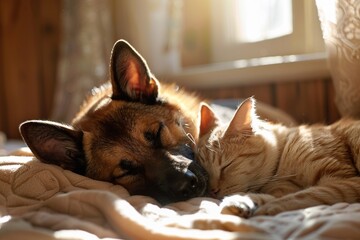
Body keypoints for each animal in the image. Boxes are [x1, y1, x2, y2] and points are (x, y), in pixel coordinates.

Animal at [195, 97, 360, 218]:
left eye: (226, 166)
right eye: (205, 172)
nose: (212, 191)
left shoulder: (345, 180)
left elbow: (305, 195)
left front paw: (263, 207)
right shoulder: (283, 187)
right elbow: (271, 195)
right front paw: (244, 202)